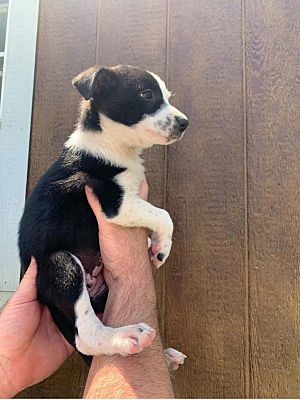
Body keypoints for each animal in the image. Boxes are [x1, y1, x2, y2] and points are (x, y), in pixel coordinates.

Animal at [18, 65, 189, 360]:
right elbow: (162, 214)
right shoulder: (115, 203)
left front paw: (153, 244)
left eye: (167, 96)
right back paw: (124, 336)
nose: (184, 122)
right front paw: (162, 248)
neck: (110, 143)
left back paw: (166, 357)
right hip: (60, 264)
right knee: (85, 335)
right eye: (146, 94)